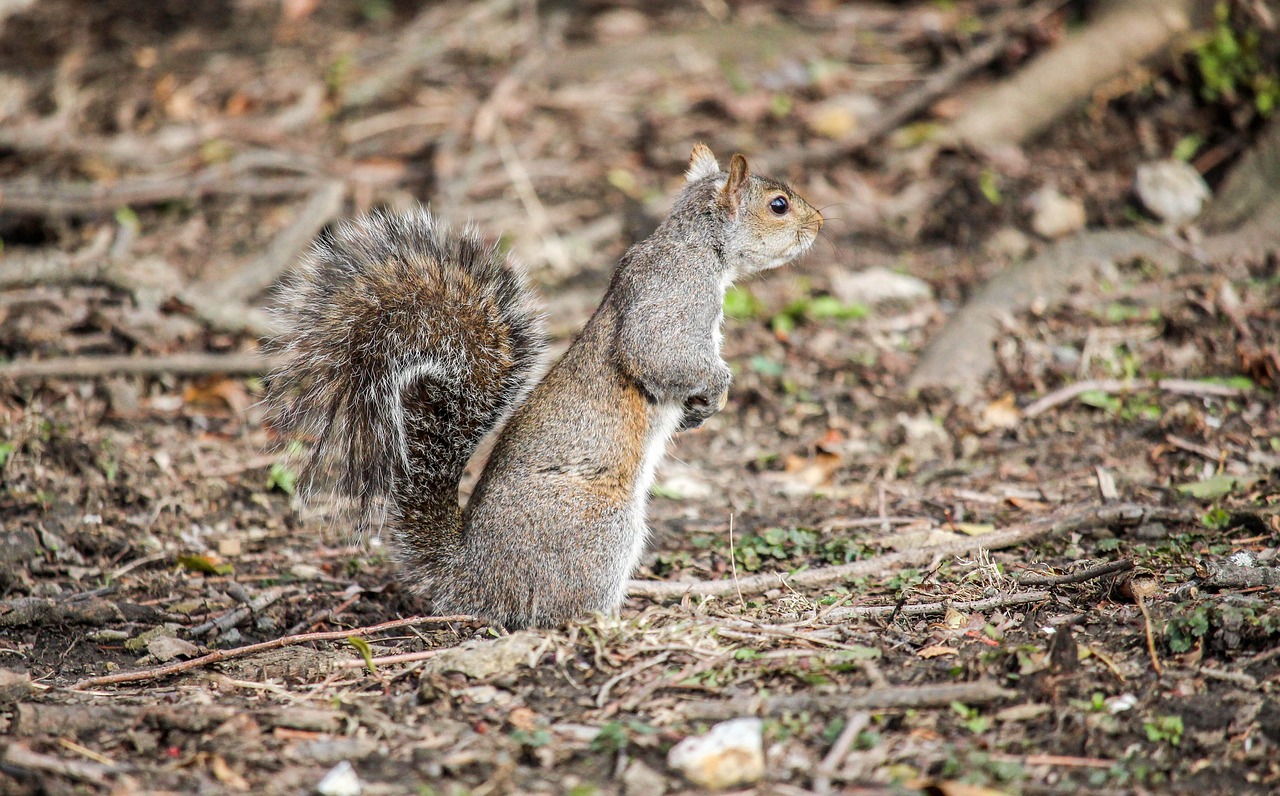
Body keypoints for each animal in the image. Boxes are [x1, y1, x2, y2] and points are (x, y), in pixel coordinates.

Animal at [266, 143, 824, 629]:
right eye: (778, 205)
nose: (820, 222)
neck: (696, 244)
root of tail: (472, 578)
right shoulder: (674, 297)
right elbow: (659, 354)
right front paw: (719, 389)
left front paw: (696, 412)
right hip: (603, 528)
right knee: (562, 607)